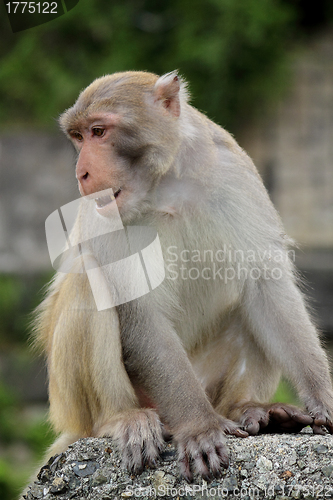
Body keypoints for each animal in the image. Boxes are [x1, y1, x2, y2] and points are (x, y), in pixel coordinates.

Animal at [33, 70, 332, 484]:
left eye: (98, 131)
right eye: (78, 137)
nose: (82, 172)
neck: (166, 185)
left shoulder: (235, 172)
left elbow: (263, 281)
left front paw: (322, 397)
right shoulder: (103, 211)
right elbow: (139, 312)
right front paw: (199, 427)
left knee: (248, 303)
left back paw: (250, 408)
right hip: (73, 404)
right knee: (89, 281)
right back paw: (123, 419)